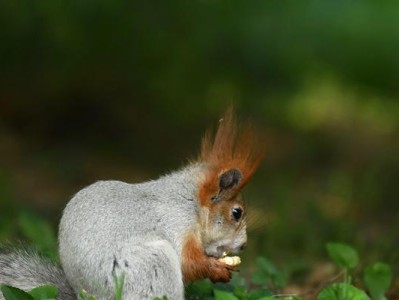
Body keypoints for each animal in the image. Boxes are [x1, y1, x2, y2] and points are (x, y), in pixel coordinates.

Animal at [0, 108, 264, 300]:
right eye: (236, 213)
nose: (243, 245)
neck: (189, 202)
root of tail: (90, 296)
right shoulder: (176, 222)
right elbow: (188, 262)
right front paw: (217, 269)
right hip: (150, 266)